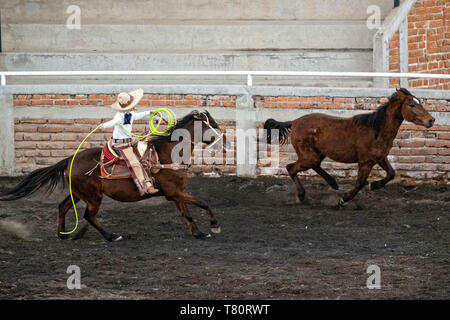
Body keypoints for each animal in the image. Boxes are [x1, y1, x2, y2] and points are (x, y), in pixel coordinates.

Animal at [0, 110, 224, 240]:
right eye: (212, 124)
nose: (223, 140)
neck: (167, 154)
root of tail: (70, 159)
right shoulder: (175, 192)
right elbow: (203, 203)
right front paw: (214, 226)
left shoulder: (176, 193)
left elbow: (187, 213)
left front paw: (198, 232)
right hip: (92, 196)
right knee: (88, 215)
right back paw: (111, 236)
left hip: (79, 193)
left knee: (63, 207)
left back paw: (63, 235)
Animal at [266, 89, 434, 206]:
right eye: (411, 104)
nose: (431, 120)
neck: (376, 129)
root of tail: (293, 122)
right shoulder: (366, 162)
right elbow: (360, 183)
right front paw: (343, 199)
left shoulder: (380, 158)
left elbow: (391, 174)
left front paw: (374, 185)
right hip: (309, 156)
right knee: (291, 168)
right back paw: (302, 195)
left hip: (317, 154)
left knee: (310, 166)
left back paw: (332, 183)